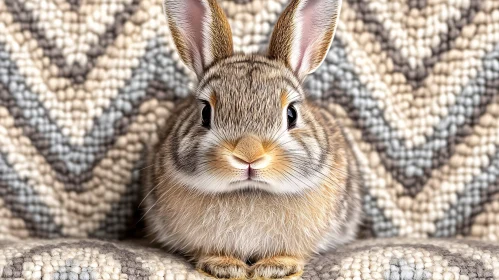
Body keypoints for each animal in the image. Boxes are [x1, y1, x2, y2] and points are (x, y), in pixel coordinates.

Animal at [143, 0, 362, 276]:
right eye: (205, 112)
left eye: (291, 114)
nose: (249, 155)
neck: (249, 190)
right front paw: (224, 266)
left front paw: (275, 268)